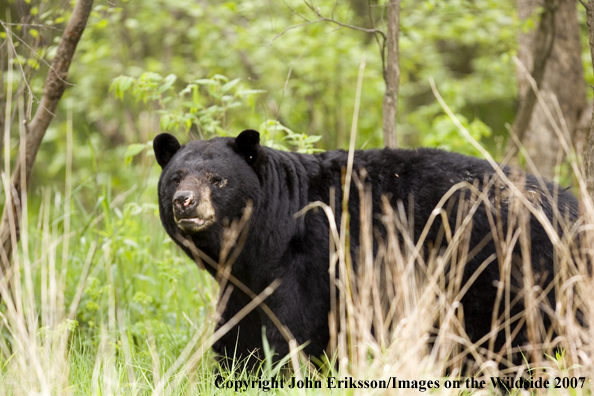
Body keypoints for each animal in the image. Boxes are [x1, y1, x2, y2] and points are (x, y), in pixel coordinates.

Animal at [153, 129, 580, 368]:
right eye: (175, 177)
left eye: (217, 179)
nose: (185, 202)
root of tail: (573, 207)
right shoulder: (243, 280)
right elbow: (237, 330)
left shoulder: (314, 260)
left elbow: (294, 328)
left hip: (504, 273)